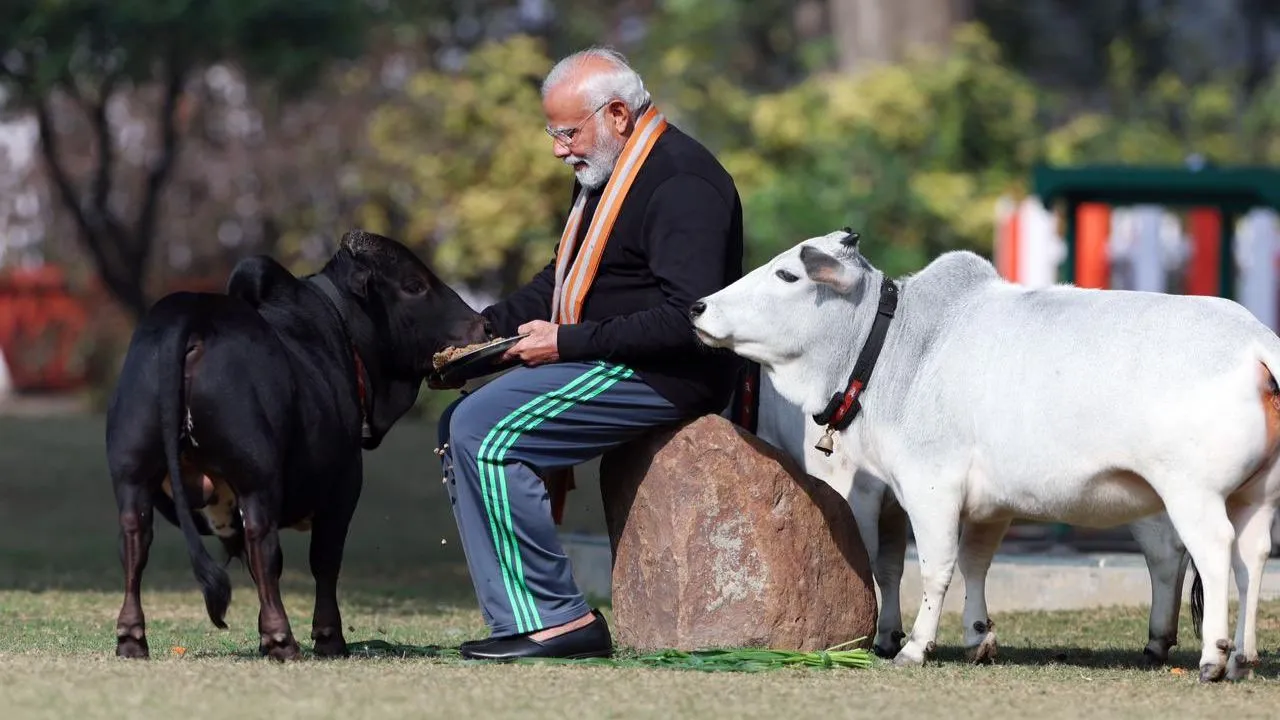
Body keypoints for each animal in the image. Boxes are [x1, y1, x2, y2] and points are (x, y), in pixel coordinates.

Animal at [105, 230, 488, 661]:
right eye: (414, 285)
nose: (482, 324)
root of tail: (194, 312)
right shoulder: (343, 486)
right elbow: (324, 559)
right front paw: (328, 637)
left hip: (132, 473)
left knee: (135, 540)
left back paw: (132, 638)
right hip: (256, 475)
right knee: (263, 544)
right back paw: (281, 639)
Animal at [754, 376, 1194, 666]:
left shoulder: (856, 488)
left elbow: (868, 559)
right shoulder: (896, 501)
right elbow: (893, 566)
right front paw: (891, 635)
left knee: (1164, 547)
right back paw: (1160, 640)